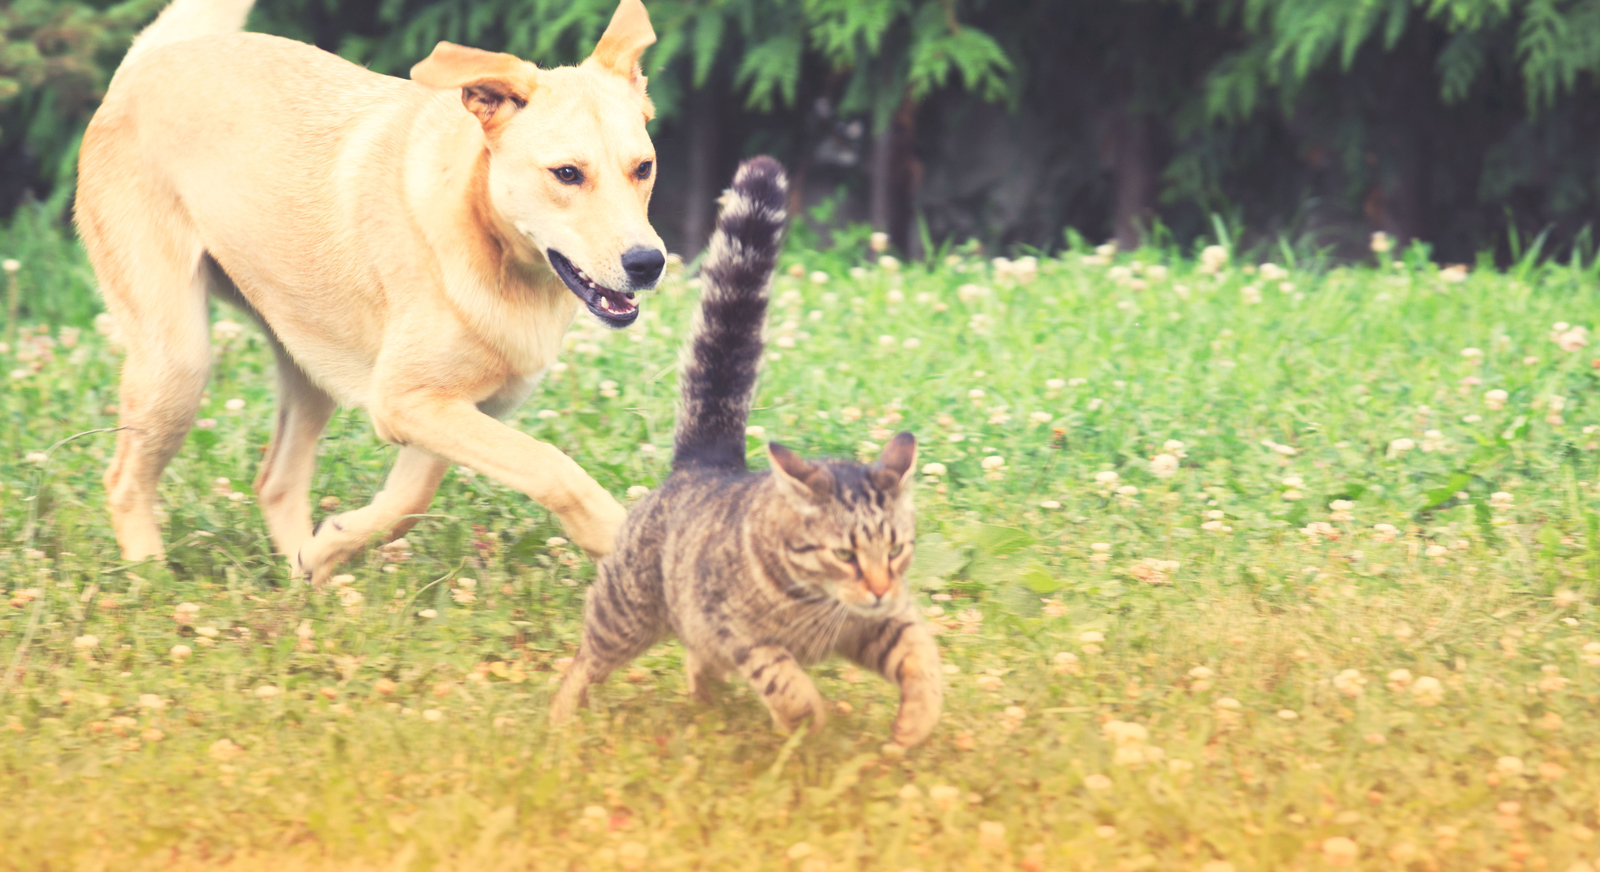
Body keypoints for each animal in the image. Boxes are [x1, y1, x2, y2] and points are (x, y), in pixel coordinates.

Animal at [73, 0, 662, 585]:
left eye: (644, 168)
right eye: (566, 173)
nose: (648, 263)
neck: (485, 239)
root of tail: (144, 63)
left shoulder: (448, 409)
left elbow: (407, 502)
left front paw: (328, 546)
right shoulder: (406, 402)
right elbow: (552, 467)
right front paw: (618, 539)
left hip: (308, 365)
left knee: (275, 482)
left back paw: (307, 582)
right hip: (178, 361)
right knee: (124, 481)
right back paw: (151, 584)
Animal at [553, 154, 940, 742]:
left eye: (895, 550)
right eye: (845, 555)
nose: (878, 587)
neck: (819, 601)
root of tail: (706, 459)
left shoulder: (882, 622)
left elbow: (919, 655)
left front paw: (915, 722)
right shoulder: (737, 631)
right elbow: (783, 678)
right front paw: (809, 725)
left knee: (695, 662)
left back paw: (708, 709)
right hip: (624, 614)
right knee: (583, 663)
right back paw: (560, 719)